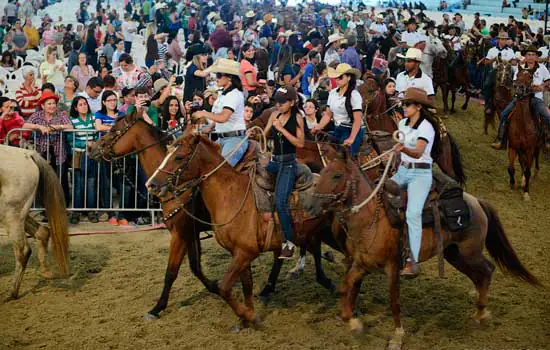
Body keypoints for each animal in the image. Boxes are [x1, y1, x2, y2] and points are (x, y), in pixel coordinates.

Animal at [0, 144, 69, 298]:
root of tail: (27, 154)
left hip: (10, 213)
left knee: (23, 251)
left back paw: (12, 294)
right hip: (18, 214)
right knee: (42, 232)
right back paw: (46, 272)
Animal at [314, 149, 544, 348]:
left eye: (337, 175)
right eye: (323, 173)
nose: (313, 203)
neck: (373, 219)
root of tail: (477, 201)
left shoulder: (392, 266)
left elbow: (394, 301)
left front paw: (397, 336)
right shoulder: (361, 264)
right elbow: (346, 287)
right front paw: (352, 322)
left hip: (470, 252)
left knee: (487, 270)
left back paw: (482, 313)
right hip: (454, 254)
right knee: (478, 276)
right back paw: (479, 311)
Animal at [508, 67, 544, 201]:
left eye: (530, 77)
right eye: (517, 75)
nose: (519, 88)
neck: (522, 124)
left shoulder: (530, 149)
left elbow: (528, 170)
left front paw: (526, 193)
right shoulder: (513, 146)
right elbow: (511, 168)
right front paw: (512, 184)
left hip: (537, 146)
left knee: (534, 160)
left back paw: (535, 173)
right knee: (522, 162)